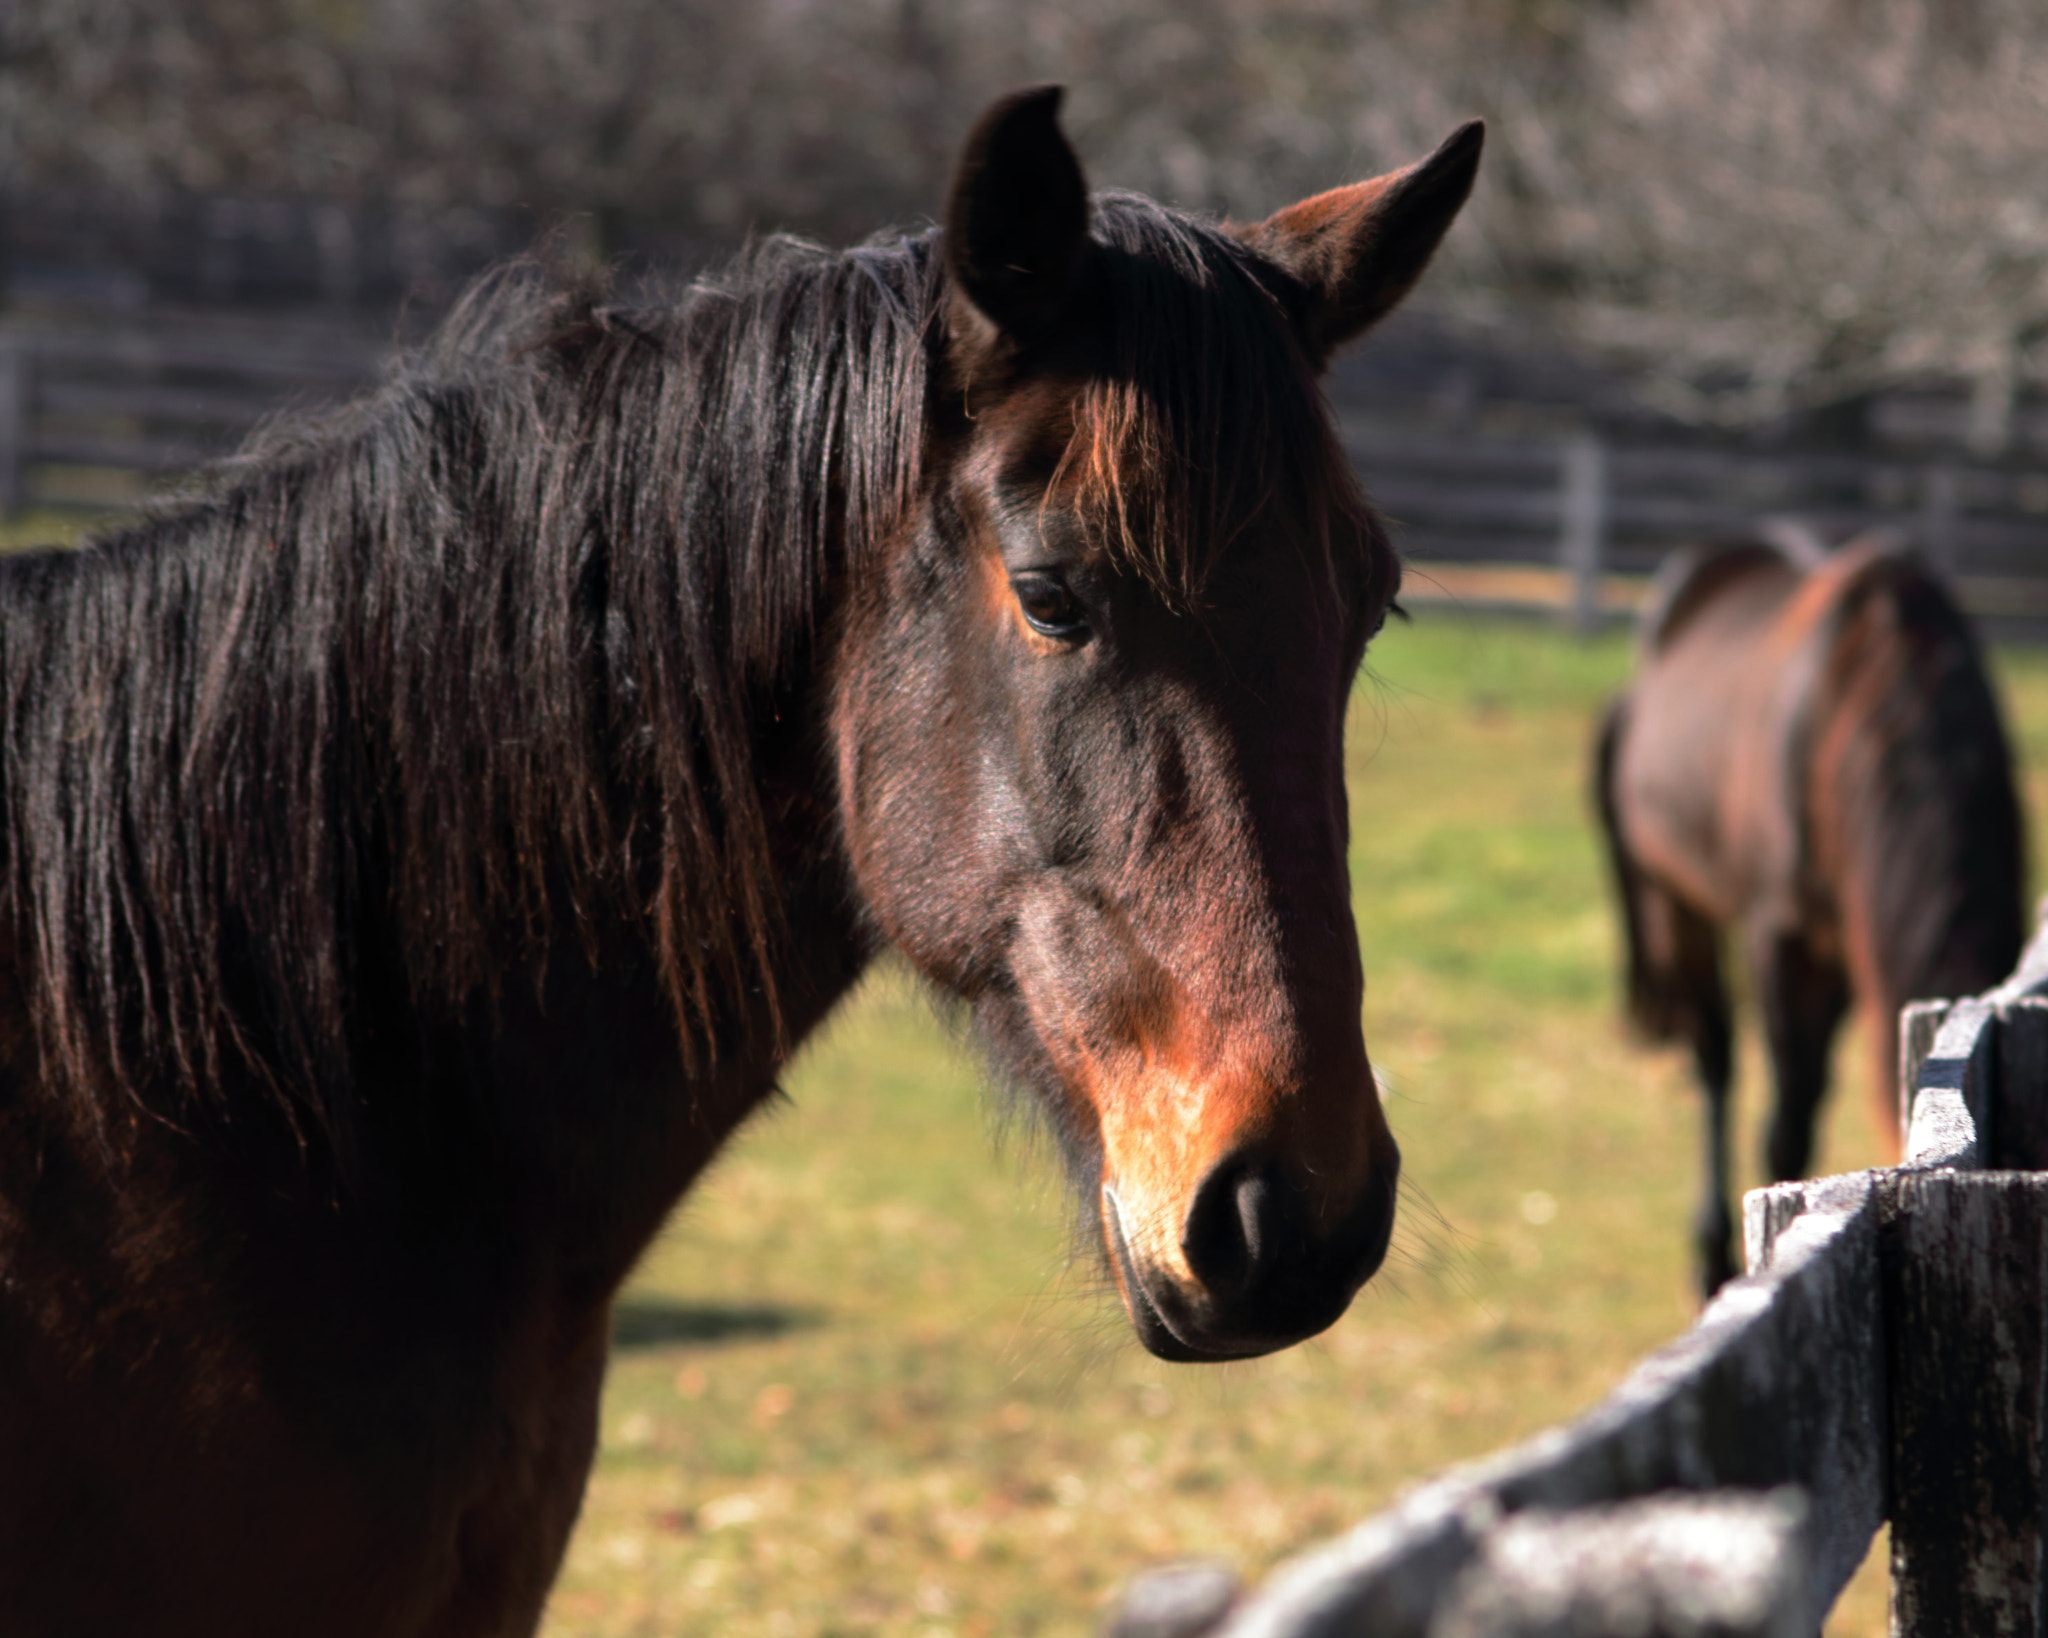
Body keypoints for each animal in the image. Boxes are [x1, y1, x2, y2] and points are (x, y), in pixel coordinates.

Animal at [1595, 528, 2025, 1295]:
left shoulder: (1846, 959)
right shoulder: (1783, 942)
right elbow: (1785, 1122)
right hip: (1677, 901)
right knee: (1714, 1058)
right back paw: (1708, 1257)